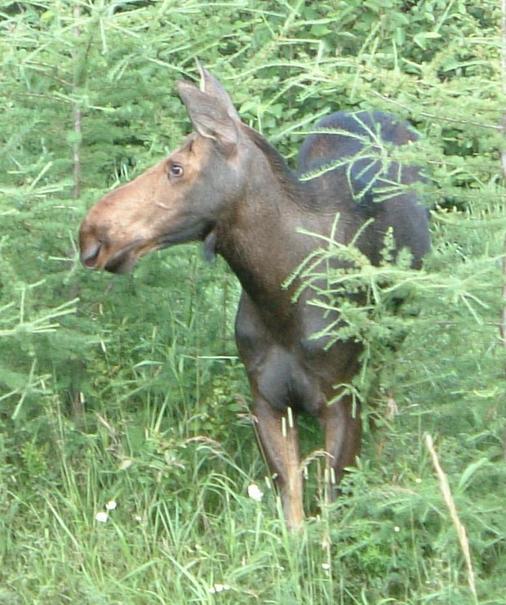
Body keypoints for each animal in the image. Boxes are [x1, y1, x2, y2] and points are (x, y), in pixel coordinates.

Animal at [80, 67, 430, 528]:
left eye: (176, 167)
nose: (90, 233)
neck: (277, 298)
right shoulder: (266, 400)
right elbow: (293, 511)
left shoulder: (341, 400)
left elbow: (329, 509)